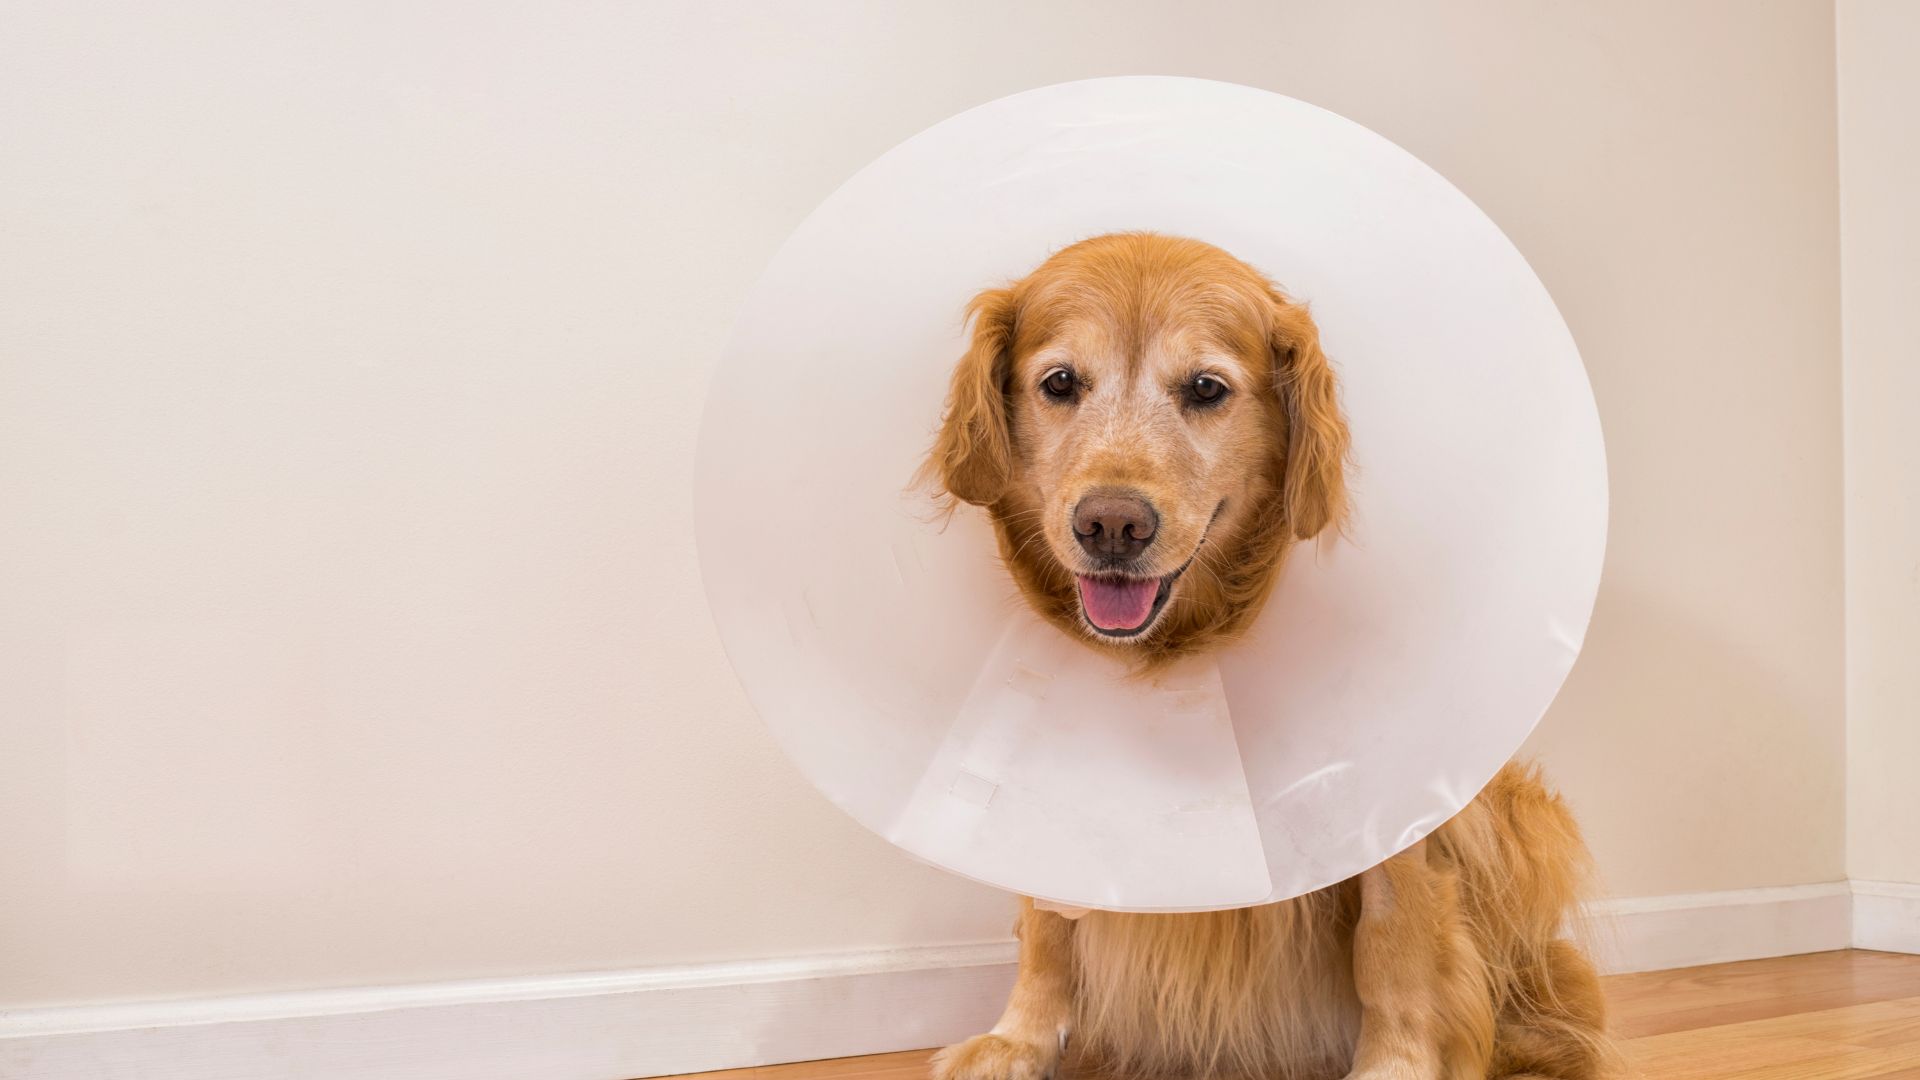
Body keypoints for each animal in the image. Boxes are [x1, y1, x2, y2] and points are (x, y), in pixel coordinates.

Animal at [921, 231, 1612, 1068]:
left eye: (1206, 388)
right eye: (1059, 382)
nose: (1111, 526)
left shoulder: (1396, 806)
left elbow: (1392, 941)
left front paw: (1395, 1064)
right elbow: (1046, 924)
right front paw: (1017, 1039)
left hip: (1520, 805)